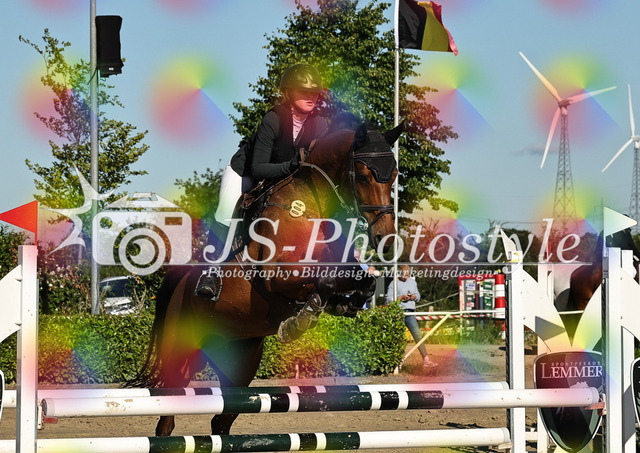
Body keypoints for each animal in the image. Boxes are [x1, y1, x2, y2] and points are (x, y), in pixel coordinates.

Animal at [132, 122, 401, 437]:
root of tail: (181, 281)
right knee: (168, 416)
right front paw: (300, 321)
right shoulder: (277, 277)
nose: (386, 239)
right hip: (183, 348)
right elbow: (324, 283)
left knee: (221, 420)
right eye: (362, 176)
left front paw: (344, 305)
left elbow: (363, 283)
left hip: (242, 359)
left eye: (394, 175)